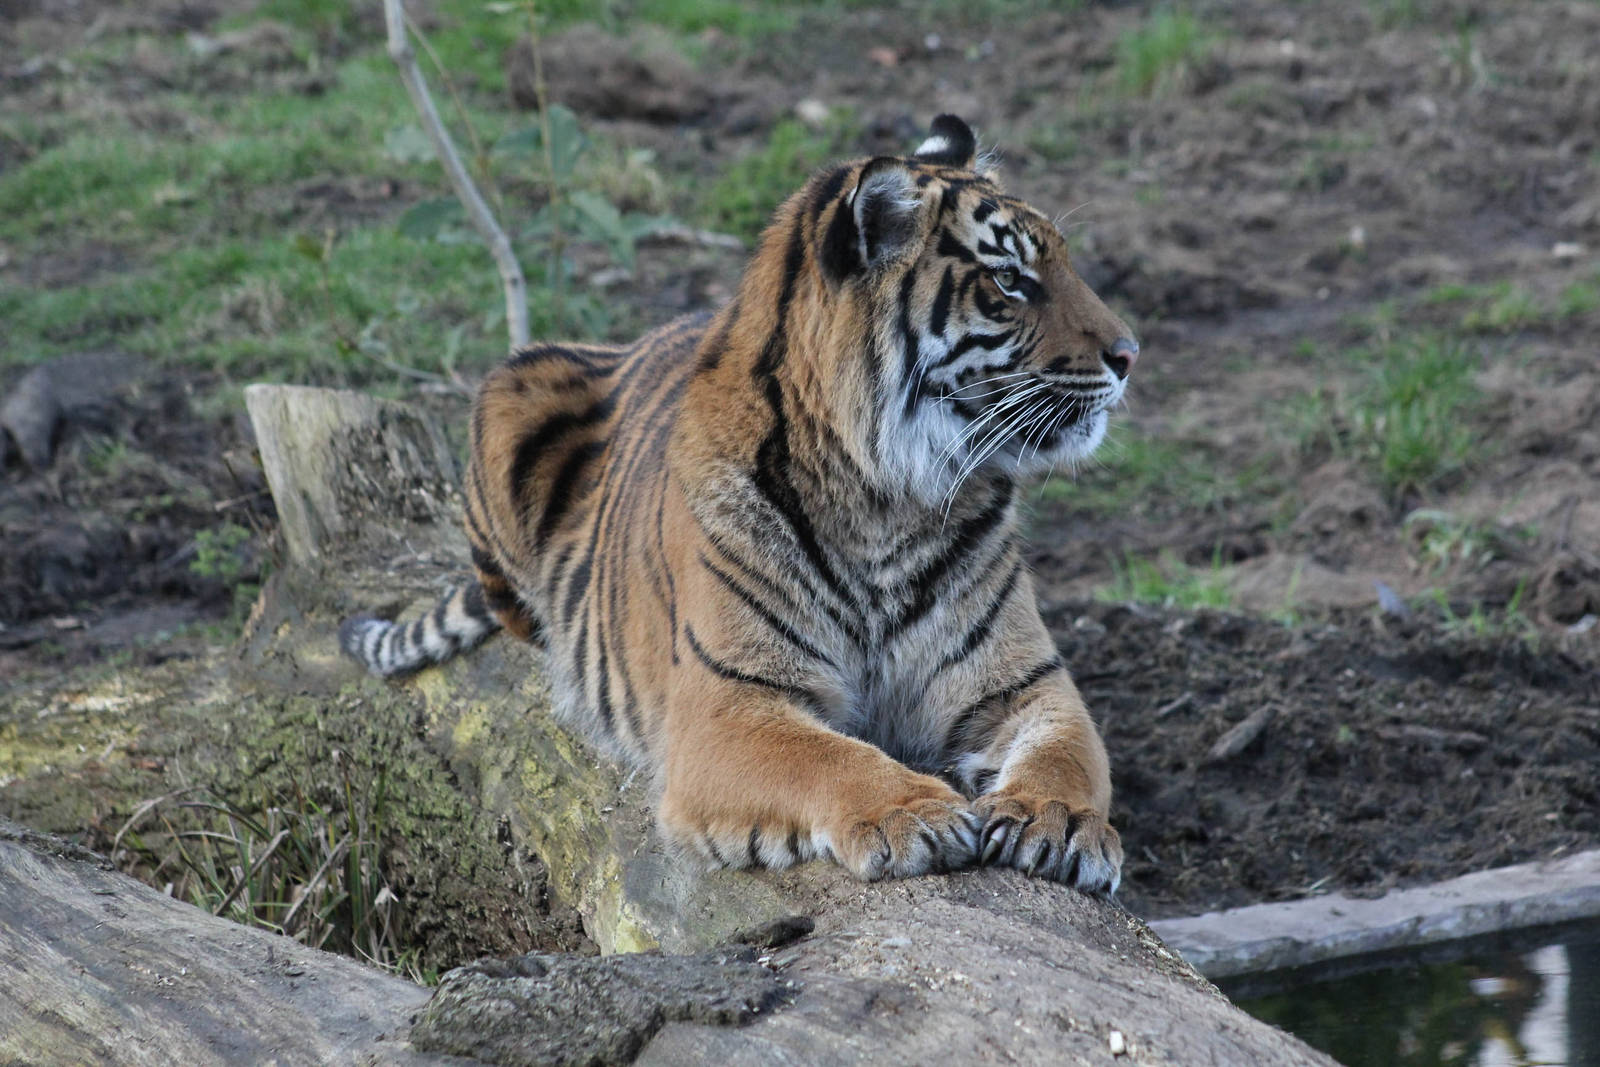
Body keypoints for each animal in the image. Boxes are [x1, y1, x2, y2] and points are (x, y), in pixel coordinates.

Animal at [342, 115, 1138, 893]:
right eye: (1008, 279)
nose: (1129, 353)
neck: (887, 499)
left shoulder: (1025, 683)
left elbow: (1066, 752)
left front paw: (1059, 822)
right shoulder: (726, 705)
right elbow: (827, 756)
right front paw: (913, 812)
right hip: (510, 384)